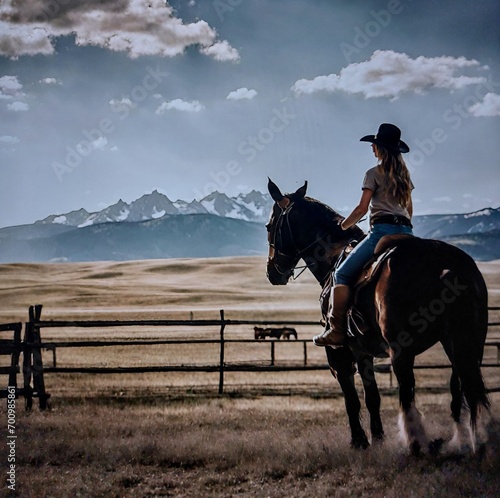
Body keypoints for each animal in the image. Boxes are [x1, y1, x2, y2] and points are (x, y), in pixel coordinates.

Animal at [266, 179, 488, 456]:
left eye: (269, 226)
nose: (272, 272)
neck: (332, 259)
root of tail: (446, 265)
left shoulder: (338, 354)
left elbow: (351, 399)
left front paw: (359, 441)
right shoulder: (363, 352)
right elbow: (372, 397)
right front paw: (378, 438)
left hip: (403, 350)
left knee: (408, 393)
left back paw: (416, 444)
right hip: (464, 344)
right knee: (462, 390)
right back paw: (469, 442)